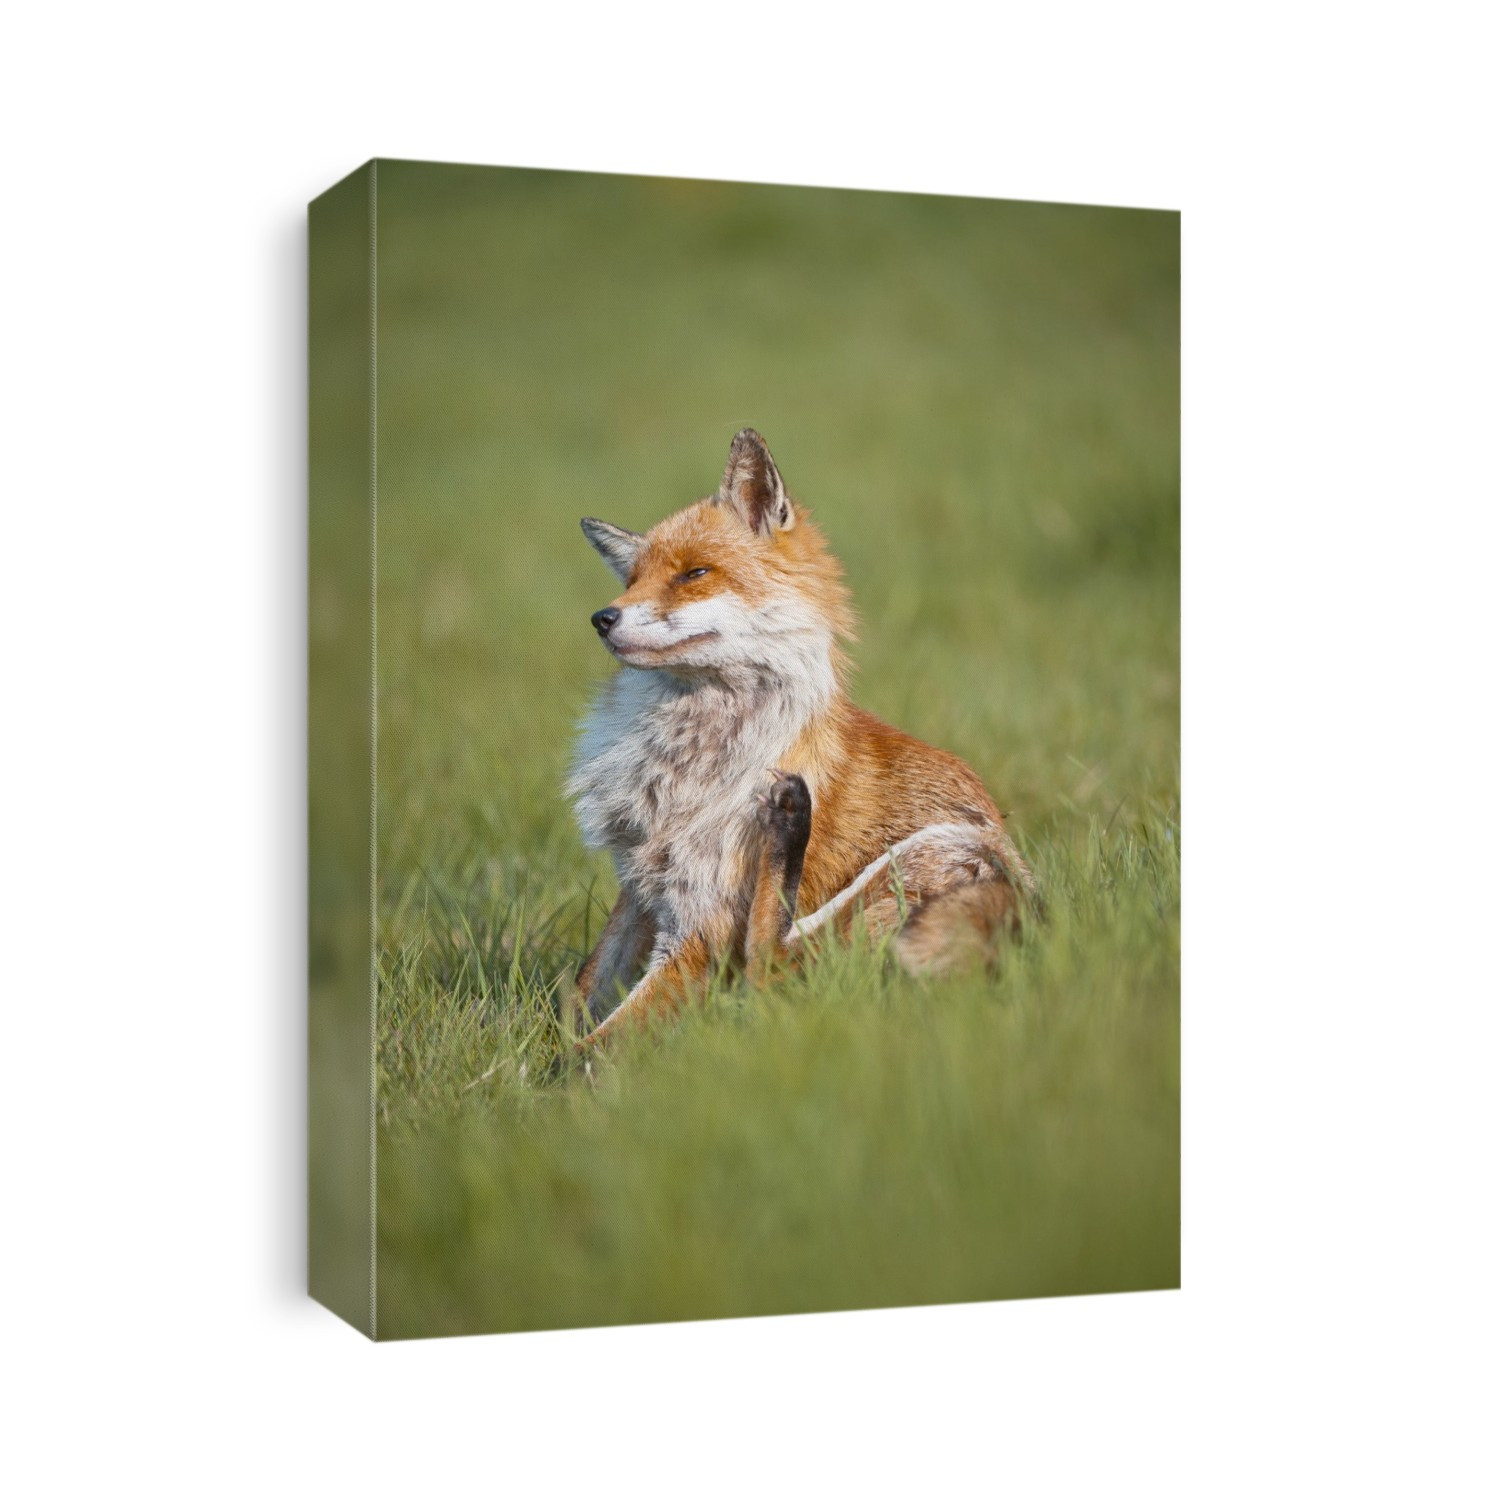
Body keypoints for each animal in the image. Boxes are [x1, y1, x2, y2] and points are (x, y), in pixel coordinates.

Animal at [568, 428, 1040, 1044]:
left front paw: (549, 1069)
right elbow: (582, 992)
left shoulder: (705, 922)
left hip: (927, 851)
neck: (685, 767)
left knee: (770, 971)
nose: (603, 618)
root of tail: (1035, 920)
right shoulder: (640, 888)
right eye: (631, 581)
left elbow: (597, 1046)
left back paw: (790, 818)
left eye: (694, 574)